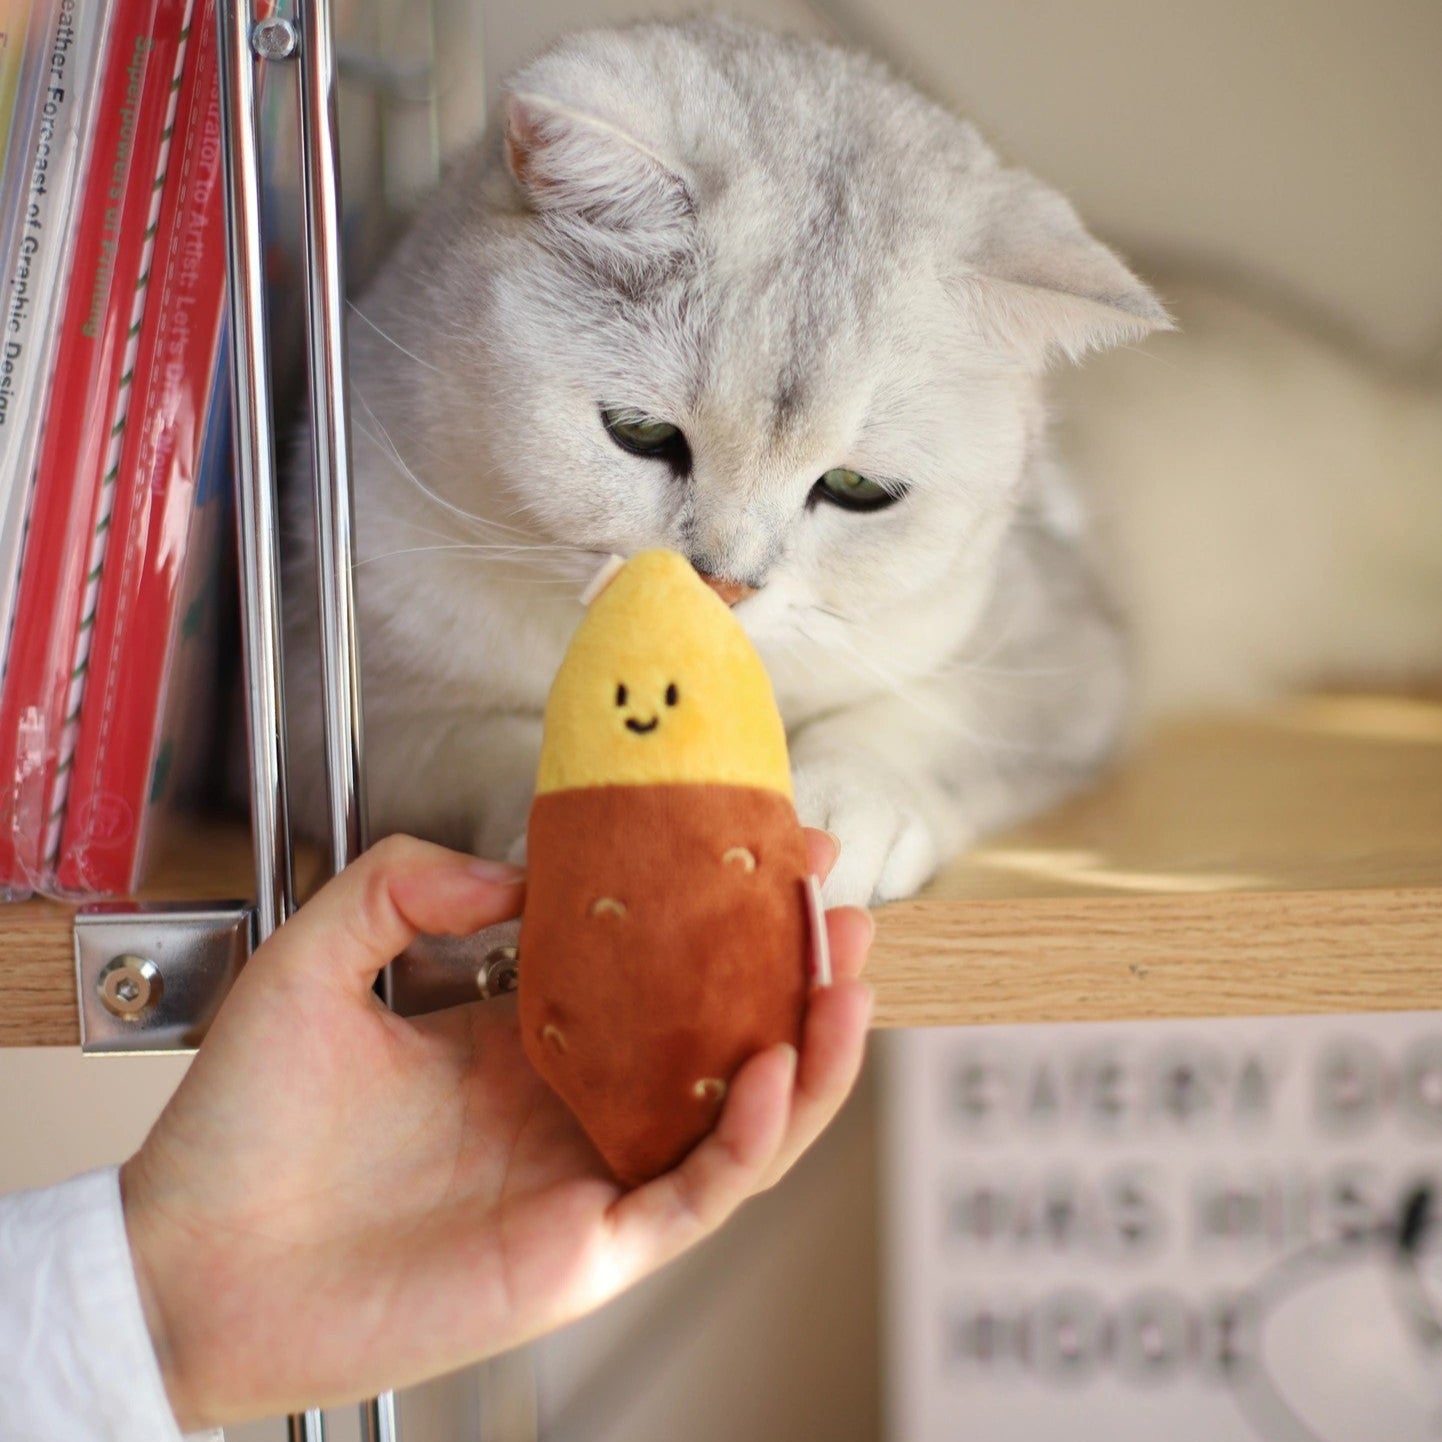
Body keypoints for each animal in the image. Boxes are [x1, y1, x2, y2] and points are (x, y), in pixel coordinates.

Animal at [281, 16, 1170, 899]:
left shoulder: (1062, 651)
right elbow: (489, 743)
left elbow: (924, 720)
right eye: (640, 432)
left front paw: (844, 812)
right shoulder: (340, 719)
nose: (724, 584)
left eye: (856, 487)